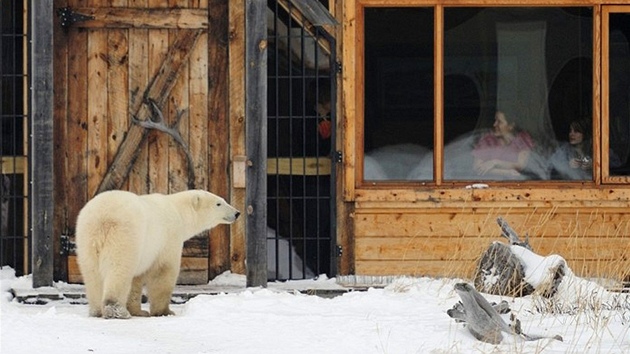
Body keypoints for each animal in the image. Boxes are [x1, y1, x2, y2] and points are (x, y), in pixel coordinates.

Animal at [76, 189, 239, 320]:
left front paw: (138, 311)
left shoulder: (145, 254)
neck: (178, 211)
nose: (237, 213)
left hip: (85, 238)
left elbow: (136, 279)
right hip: (125, 235)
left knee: (92, 274)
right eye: (219, 203)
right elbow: (163, 273)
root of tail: (101, 217)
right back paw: (116, 310)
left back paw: (97, 310)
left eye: (223, 200)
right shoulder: (168, 238)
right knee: (118, 269)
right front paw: (165, 311)